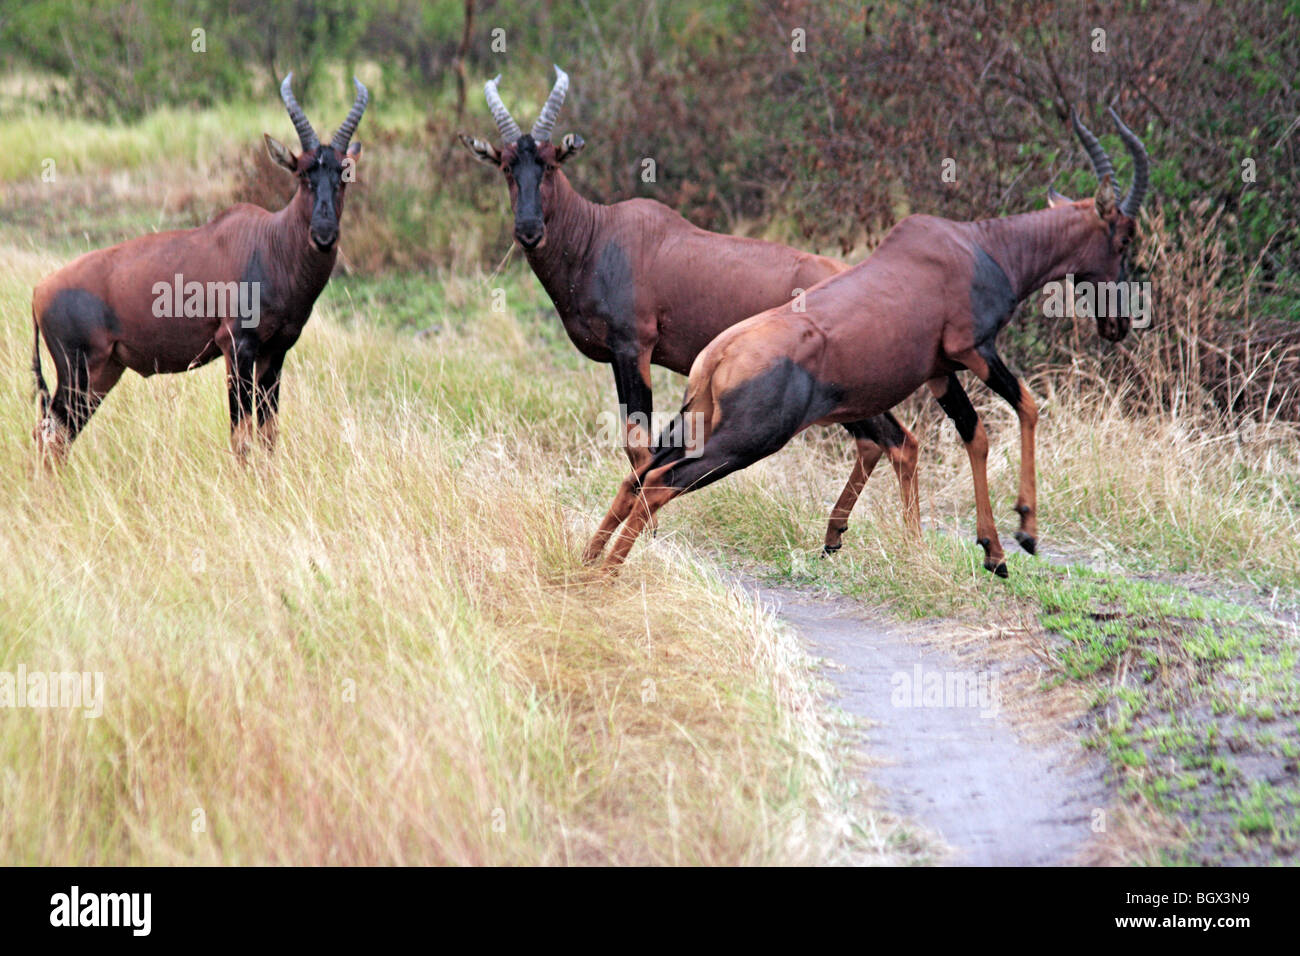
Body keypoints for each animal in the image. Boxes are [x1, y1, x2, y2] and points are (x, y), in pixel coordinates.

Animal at [31, 72, 366, 465]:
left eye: (344, 174)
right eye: (302, 174)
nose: (324, 235)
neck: (270, 242)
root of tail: (39, 291)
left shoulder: (275, 352)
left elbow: (268, 436)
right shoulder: (237, 347)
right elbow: (241, 436)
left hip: (104, 373)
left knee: (57, 436)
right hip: (79, 372)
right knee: (50, 436)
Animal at [457, 67, 925, 554]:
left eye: (550, 164)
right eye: (507, 166)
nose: (529, 231)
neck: (600, 235)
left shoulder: (633, 348)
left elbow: (638, 445)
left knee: (899, 441)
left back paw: (911, 548)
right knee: (878, 443)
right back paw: (836, 536)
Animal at [585, 108, 1154, 572]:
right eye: (1125, 237)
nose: (1118, 325)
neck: (977, 248)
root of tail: (717, 356)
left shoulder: (939, 371)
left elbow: (975, 435)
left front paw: (993, 553)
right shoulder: (973, 350)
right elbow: (1028, 408)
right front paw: (1024, 532)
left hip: (698, 423)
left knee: (637, 476)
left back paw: (587, 564)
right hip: (747, 440)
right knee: (661, 483)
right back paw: (609, 575)